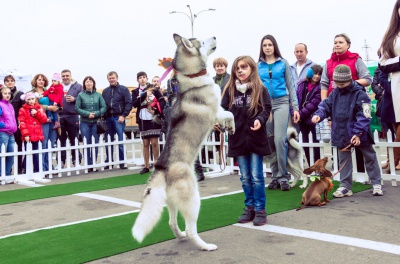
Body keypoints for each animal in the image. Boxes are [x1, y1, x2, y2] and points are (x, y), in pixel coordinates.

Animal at [133, 34, 234, 251]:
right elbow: (229, 113)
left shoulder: (218, 111)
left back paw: (179, 236)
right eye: (202, 42)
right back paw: (204, 245)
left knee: (172, 222)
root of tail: (161, 167)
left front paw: (229, 128)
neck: (194, 77)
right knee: (190, 228)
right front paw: (230, 125)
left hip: (172, 201)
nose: (215, 36)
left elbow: (228, 115)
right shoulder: (215, 110)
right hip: (193, 198)